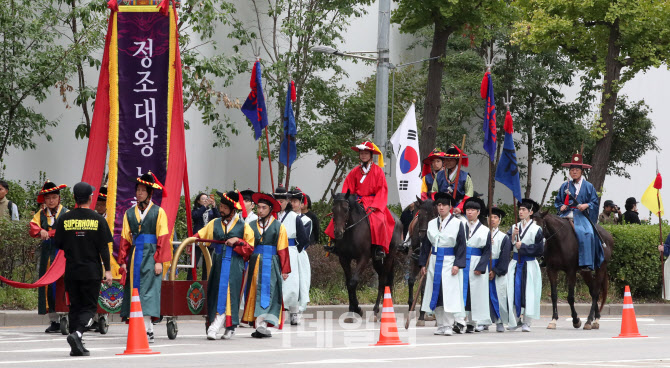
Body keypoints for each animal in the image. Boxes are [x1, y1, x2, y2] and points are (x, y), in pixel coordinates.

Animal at [332, 190, 404, 322]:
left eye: (345, 209)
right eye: (333, 209)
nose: (338, 232)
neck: (351, 231)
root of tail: (397, 219)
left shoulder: (363, 258)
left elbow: (353, 282)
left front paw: (358, 309)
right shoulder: (344, 259)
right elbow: (348, 283)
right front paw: (352, 310)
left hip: (389, 256)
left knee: (383, 281)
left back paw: (376, 311)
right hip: (377, 261)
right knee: (385, 281)